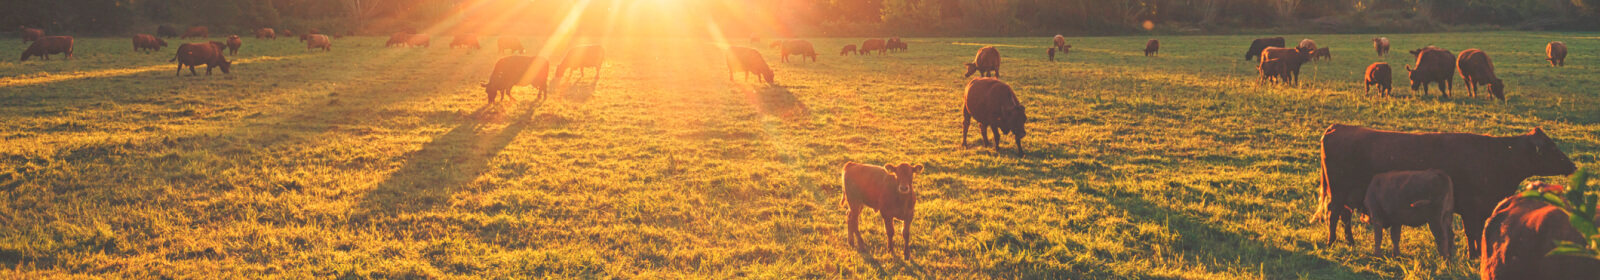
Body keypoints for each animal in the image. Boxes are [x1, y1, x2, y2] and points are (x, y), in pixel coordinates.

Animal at [1312, 125, 1574, 259]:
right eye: (1551, 147)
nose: (1572, 166)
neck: (1498, 156)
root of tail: (1337, 127)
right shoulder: (1471, 208)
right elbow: (1472, 233)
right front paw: (1473, 256)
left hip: (1347, 194)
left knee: (1344, 215)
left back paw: (1350, 241)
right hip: (1338, 192)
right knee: (1334, 215)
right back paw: (1332, 241)